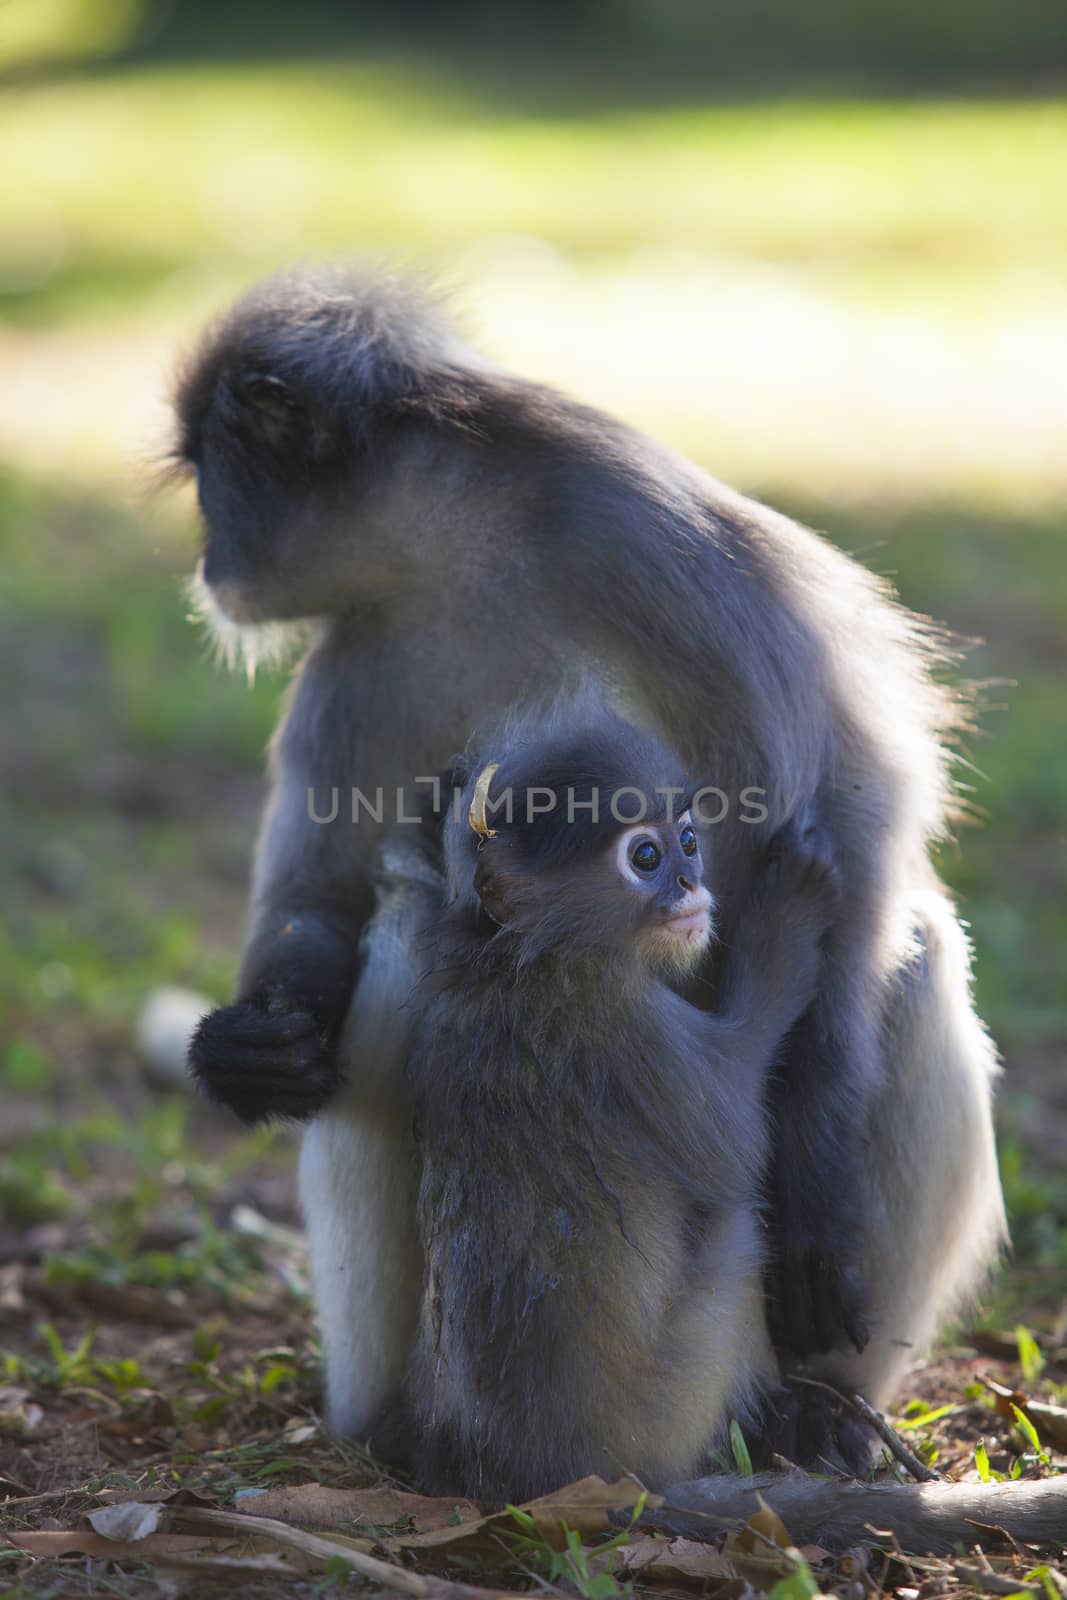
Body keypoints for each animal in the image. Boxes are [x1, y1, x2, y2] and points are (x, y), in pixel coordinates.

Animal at [398, 713, 844, 1497]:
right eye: (645, 855)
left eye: (688, 840)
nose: (692, 882)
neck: (521, 960)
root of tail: (541, 1476)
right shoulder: (624, 1024)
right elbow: (736, 1143)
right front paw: (790, 909)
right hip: (667, 1404)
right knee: (735, 1225)